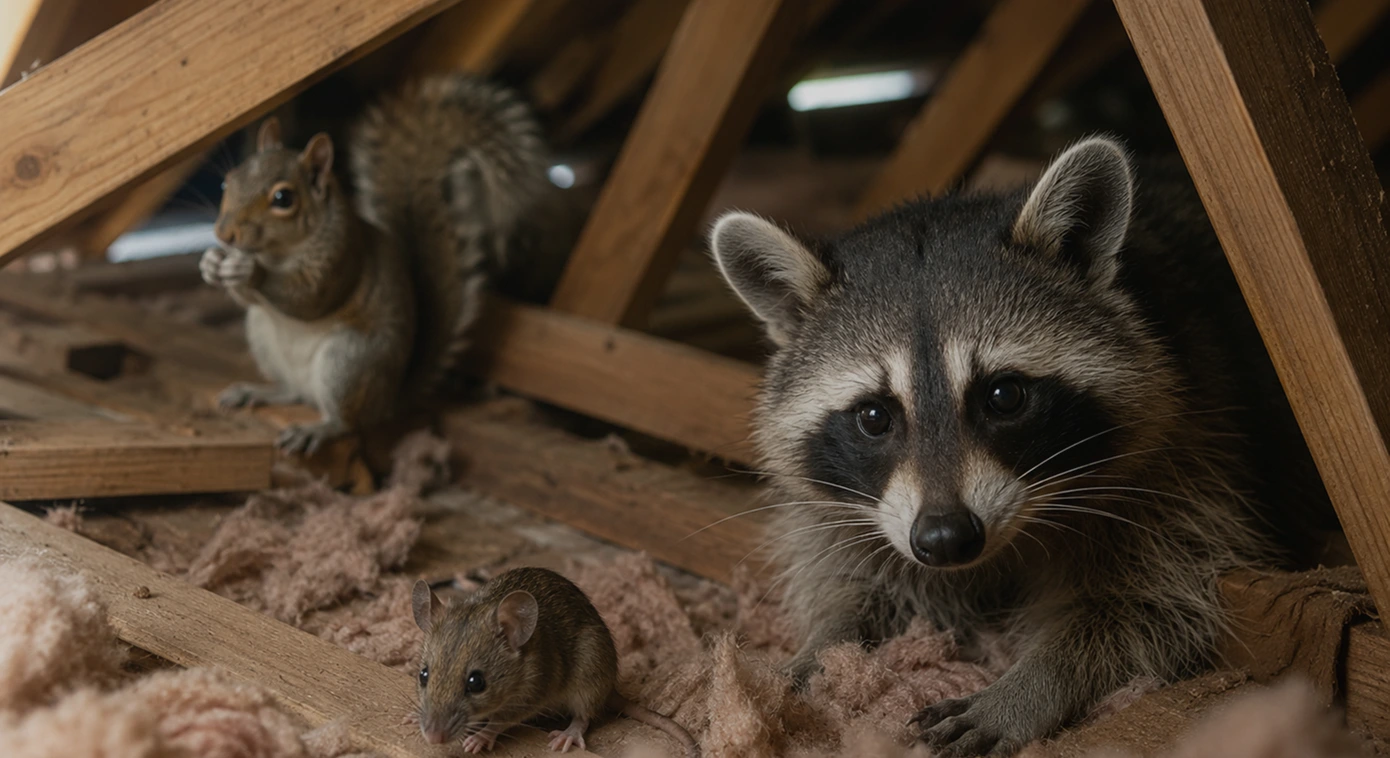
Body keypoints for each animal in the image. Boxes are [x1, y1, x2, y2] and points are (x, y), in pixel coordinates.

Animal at [201, 74, 573, 454]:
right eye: (228, 180)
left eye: (283, 198)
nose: (224, 234)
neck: (277, 251)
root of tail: (390, 400)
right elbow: (248, 296)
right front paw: (212, 263)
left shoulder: (342, 257)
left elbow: (309, 297)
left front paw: (251, 272)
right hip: (263, 335)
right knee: (294, 392)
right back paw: (257, 391)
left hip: (348, 362)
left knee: (347, 420)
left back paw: (318, 429)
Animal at [708, 137, 1335, 755]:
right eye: (873, 416)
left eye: (1004, 396)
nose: (946, 538)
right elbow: (856, 579)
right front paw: (817, 648)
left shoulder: (1193, 445)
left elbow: (1151, 597)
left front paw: (1036, 681)